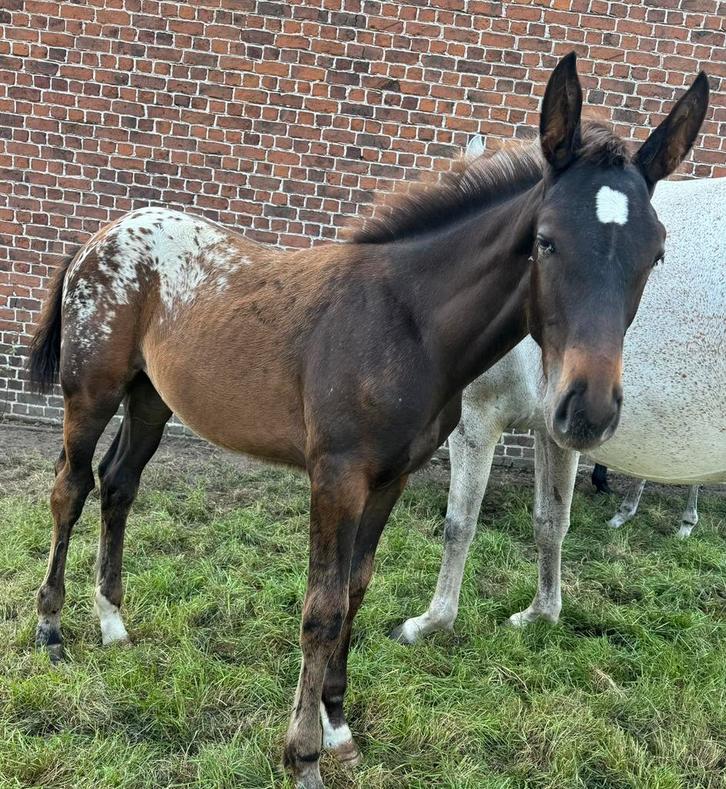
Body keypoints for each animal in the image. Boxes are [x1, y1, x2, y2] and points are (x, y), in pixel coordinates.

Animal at [393, 174, 725, 645]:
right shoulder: (558, 429)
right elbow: (551, 522)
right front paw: (540, 615)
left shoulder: (478, 416)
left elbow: (461, 522)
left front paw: (429, 622)